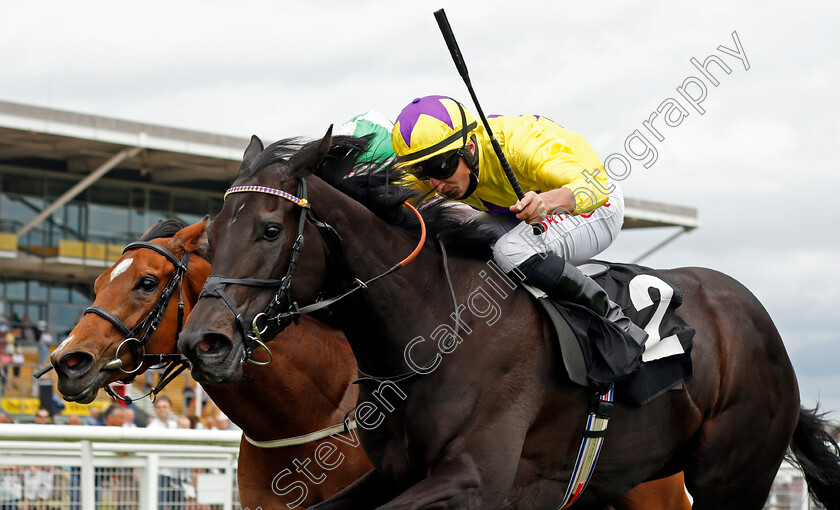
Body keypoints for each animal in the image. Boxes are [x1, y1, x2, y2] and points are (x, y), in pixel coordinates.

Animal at [177, 129, 840, 508]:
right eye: (210, 235)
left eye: (269, 229)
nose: (203, 342)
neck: (432, 331)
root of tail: (752, 312)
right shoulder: (391, 473)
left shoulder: (476, 479)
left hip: (731, 478)